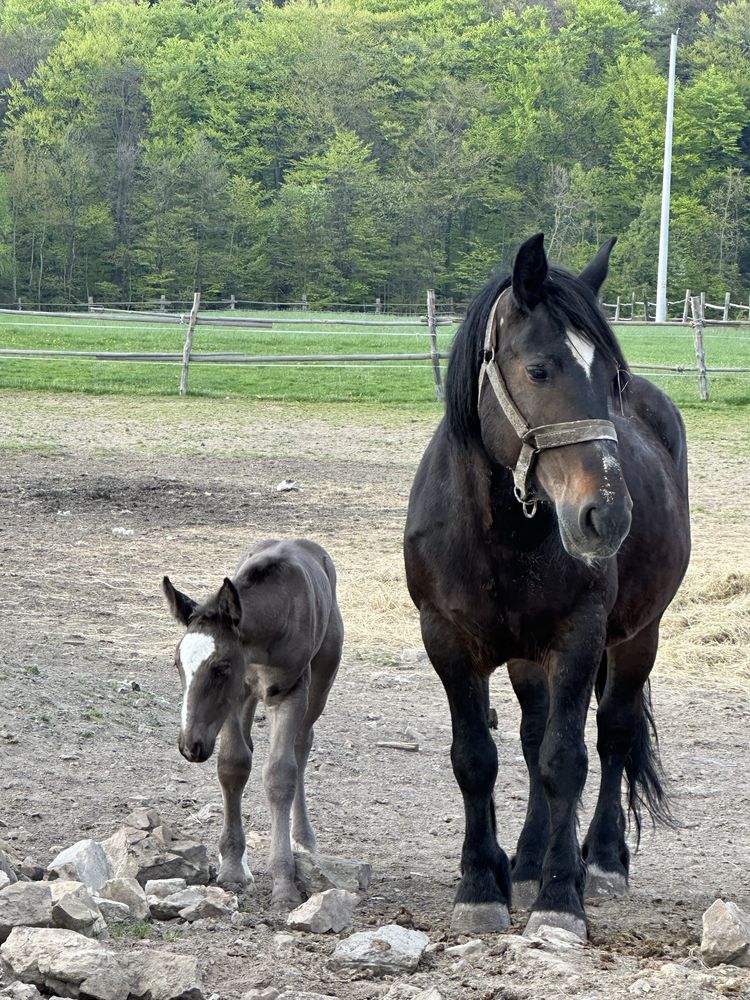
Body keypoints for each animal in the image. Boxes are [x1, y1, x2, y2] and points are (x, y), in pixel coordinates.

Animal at [406, 234, 692, 936]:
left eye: (610, 379)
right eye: (539, 369)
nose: (606, 516)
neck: (501, 534)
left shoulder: (578, 638)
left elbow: (569, 760)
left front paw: (562, 897)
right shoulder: (447, 641)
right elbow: (477, 757)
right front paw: (482, 883)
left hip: (638, 637)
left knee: (614, 732)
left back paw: (603, 860)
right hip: (525, 658)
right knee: (533, 737)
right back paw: (530, 857)